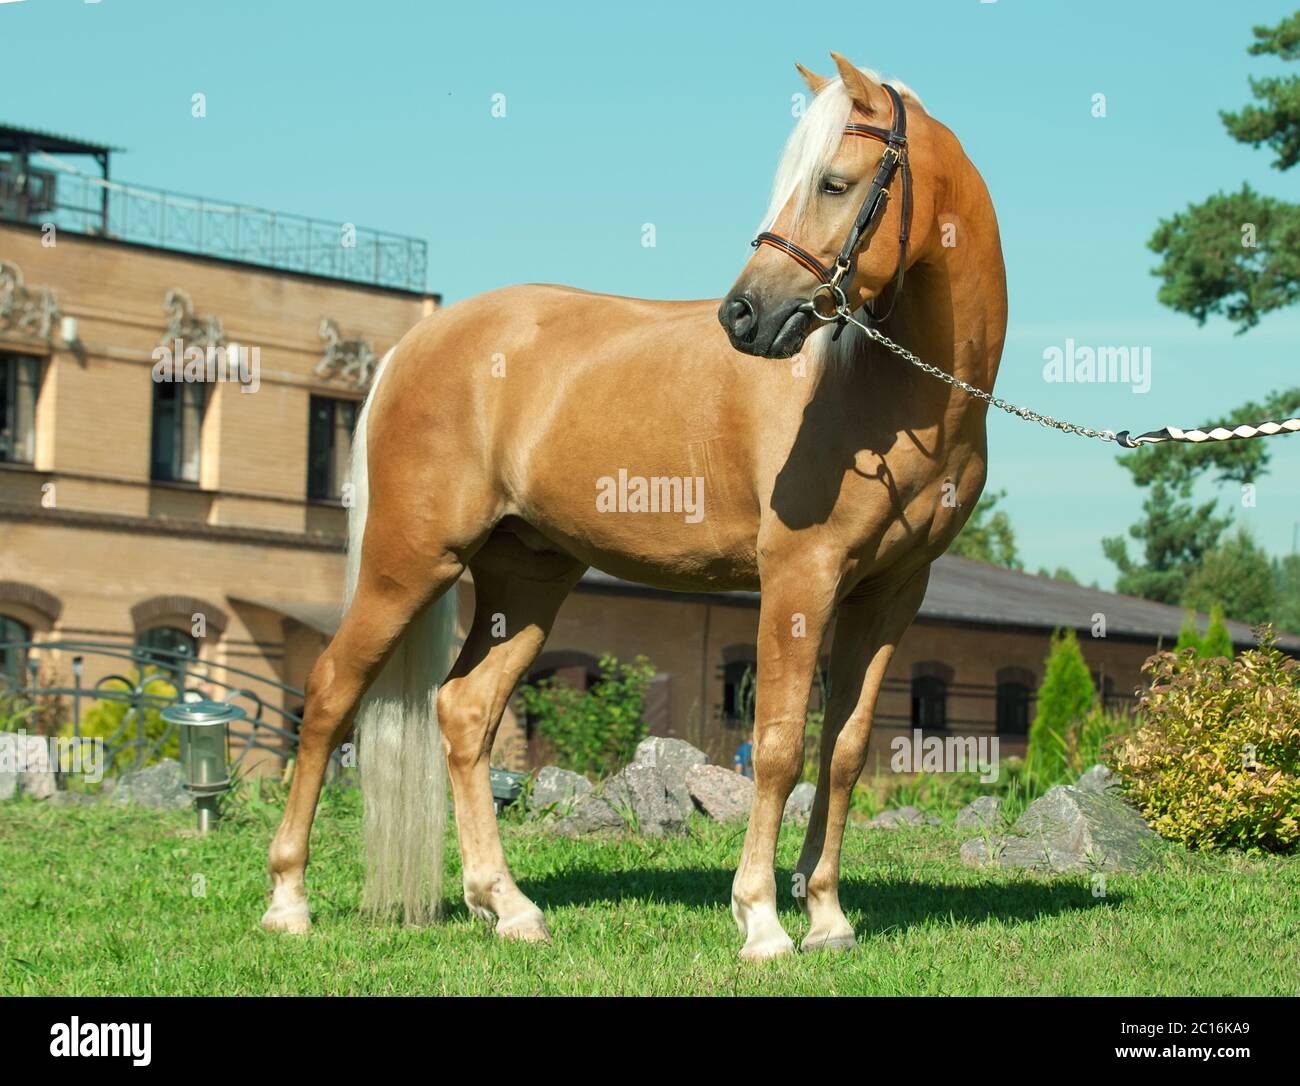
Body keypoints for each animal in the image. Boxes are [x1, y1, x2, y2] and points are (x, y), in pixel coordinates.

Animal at [263, 57, 1008, 962]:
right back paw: (289, 901)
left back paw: (507, 907)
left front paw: (828, 917)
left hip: (528, 579)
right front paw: (762, 920)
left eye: (835, 182)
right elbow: (778, 748)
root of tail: (416, 345)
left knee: (464, 710)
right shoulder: (800, 579)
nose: (743, 316)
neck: (878, 385)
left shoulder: (891, 592)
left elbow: (845, 749)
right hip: (410, 564)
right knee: (330, 695)